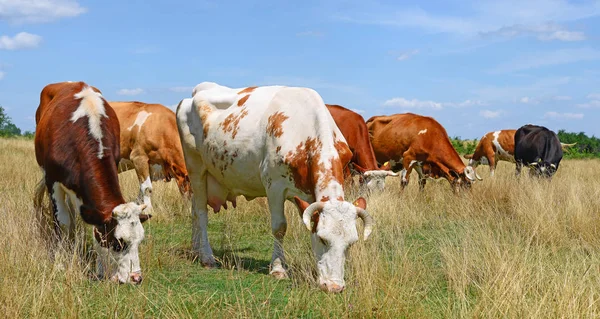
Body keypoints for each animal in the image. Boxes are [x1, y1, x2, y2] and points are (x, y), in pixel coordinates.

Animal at [32, 82, 152, 284]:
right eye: (118, 243)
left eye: (140, 241)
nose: (136, 278)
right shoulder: (53, 181)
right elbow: (62, 222)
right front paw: (59, 262)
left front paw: (100, 269)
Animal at [178, 82, 372, 296]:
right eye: (323, 239)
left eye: (351, 243)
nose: (335, 287)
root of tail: (197, 91)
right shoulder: (274, 186)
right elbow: (280, 227)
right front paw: (278, 268)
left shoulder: (307, 194)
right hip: (196, 168)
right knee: (201, 213)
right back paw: (206, 256)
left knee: (195, 211)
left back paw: (195, 249)